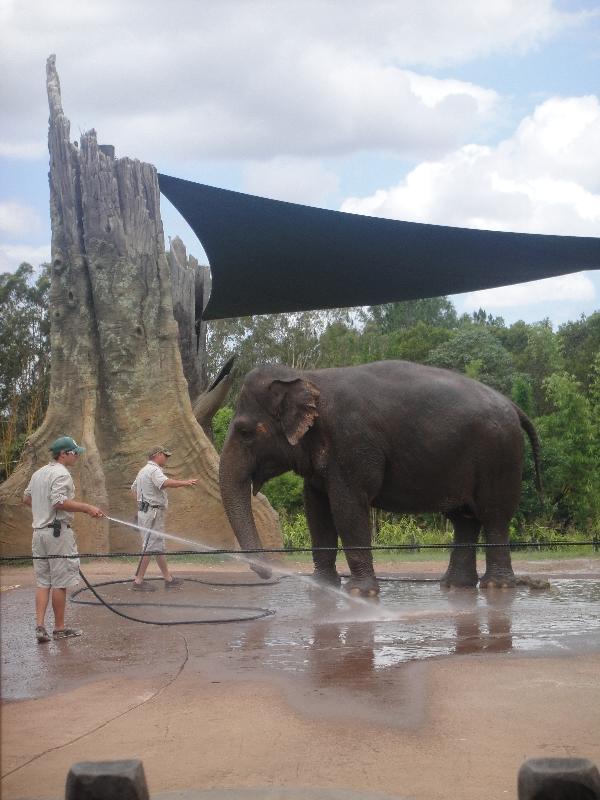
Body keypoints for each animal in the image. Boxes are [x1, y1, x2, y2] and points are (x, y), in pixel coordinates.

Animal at [218, 360, 540, 592]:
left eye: (245, 432)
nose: (266, 572)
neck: (307, 377)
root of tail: (514, 406)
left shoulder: (352, 444)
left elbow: (347, 509)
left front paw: (359, 592)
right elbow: (317, 511)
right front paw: (321, 587)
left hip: (499, 456)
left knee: (494, 516)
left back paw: (496, 587)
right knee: (464, 519)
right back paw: (454, 586)